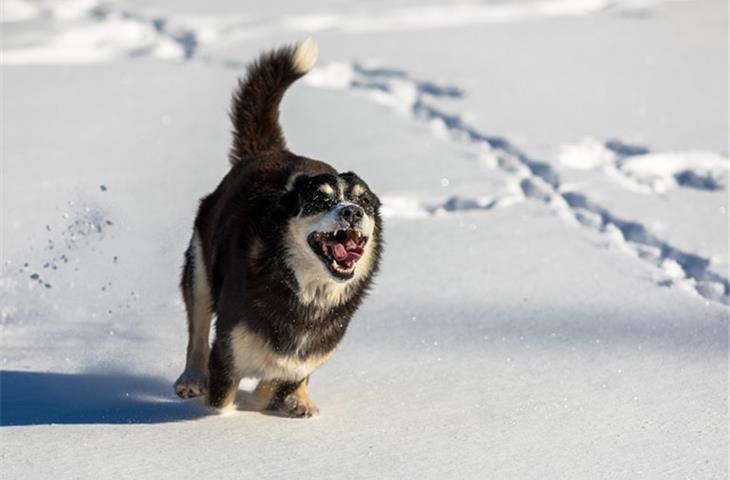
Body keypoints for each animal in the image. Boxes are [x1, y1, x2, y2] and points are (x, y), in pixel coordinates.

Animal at [174, 38, 384, 416]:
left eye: (365, 203)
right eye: (320, 200)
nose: (352, 212)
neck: (308, 293)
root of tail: (265, 152)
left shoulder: (308, 354)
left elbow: (281, 378)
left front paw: (280, 398)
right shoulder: (227, 353)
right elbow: (223, 398)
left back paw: (299, 400)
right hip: (199, 269)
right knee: (196, 331)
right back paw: (191, 378)